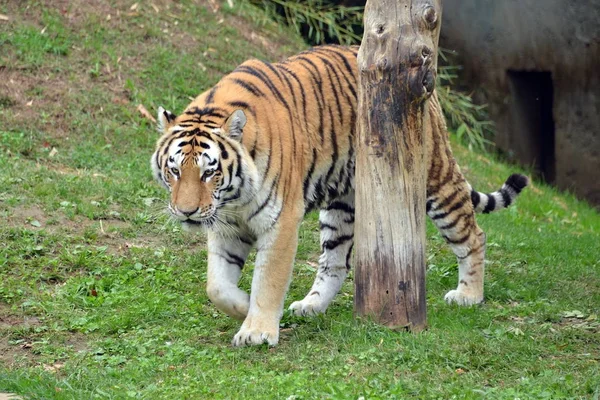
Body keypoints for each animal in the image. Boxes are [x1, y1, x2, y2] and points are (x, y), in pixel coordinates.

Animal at [150, 45, 524, 346]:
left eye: (208, 172)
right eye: (175, 170)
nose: (186, 211)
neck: (233, 196)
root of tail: (429, 90)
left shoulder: (280, 221)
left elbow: (268, 280)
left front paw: (257, 331)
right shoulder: (226, 225)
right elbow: (216, 286)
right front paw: (242, 306)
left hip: (434, 179)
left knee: (473, 235)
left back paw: (468, 296)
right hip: (342, 206)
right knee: (336, 261)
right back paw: (310, 305)